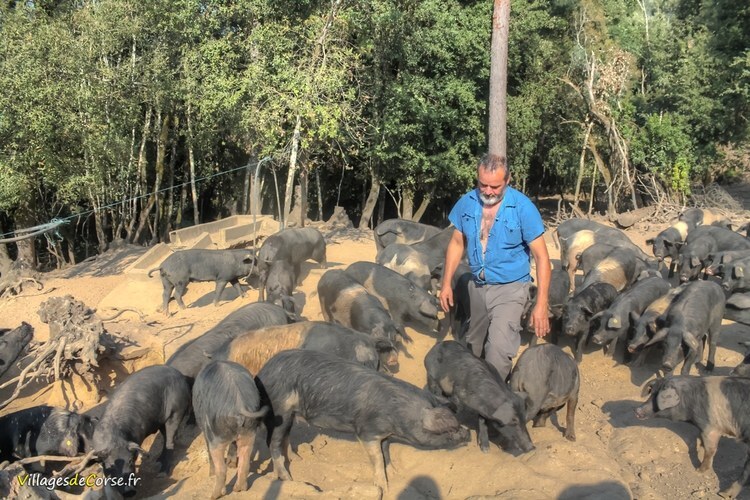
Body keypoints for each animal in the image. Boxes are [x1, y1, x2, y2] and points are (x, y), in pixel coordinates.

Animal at [194, 362, 270, 498]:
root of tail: (240, 404)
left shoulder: (207, 432)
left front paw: (211, 475)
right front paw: (231, 464)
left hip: (217, 435)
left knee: (220, 467)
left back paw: (215, 496)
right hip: (249, 431)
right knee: (245, 460)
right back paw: (239, 489)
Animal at [258, 350, 470, 490]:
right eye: (449, 430)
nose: (467, 433)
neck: (398, 414)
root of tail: (263, 372)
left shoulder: (384, 434)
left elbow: (386, 453)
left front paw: (395, 474)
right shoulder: (367, 431)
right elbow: (377, 458)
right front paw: (383, 486)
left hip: (291, 414)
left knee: (285, 437)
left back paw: (298, 459)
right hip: (280, 411)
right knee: (273, 443)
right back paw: (288, 479)